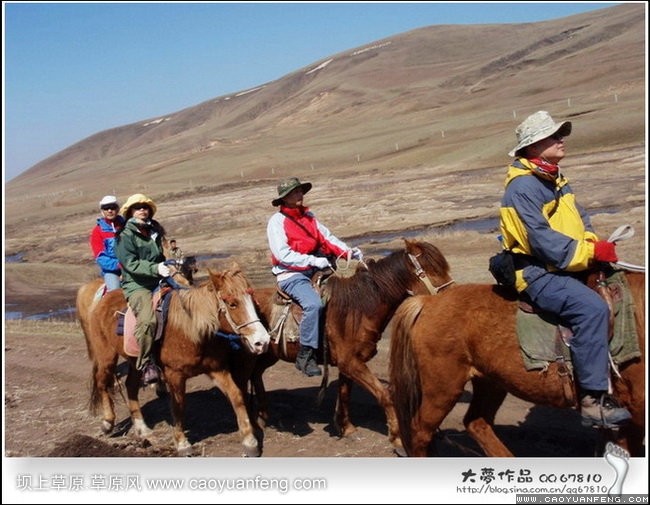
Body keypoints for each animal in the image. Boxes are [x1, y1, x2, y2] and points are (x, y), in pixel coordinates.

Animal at [76, 264, 268, 456]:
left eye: (253, 301)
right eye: (232, 304)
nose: (262, 341)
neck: (191, 329)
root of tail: (102, 300)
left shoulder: (217, 369)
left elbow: (237, 396)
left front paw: (250, 442)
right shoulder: (174, 375)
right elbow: (178, 406)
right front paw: (182, 444)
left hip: (136, 362)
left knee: (130, 386)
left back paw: (142, 428)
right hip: (106, 356)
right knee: (102, 382)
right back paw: (107, 423)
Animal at [251, 238, 454, 454]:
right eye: (431, 270)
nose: (451, 298)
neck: (358, 308)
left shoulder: (348, 364)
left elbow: (345, 395)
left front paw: (347, 429)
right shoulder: (350, 363)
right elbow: (386, 396)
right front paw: (398, 441)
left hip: (268, 354)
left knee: (256, 374)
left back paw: (263, 417)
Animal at [388, 272, 644, 456]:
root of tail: (429, 301)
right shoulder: (636, 409)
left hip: (490, 383)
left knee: (476, 423)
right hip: (443, 389)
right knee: (420, 432)